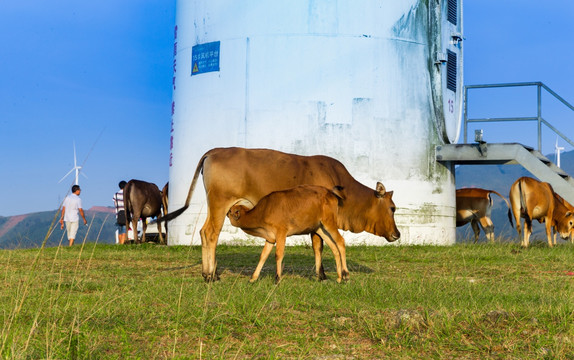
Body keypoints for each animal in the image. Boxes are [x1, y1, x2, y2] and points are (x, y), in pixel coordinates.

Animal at [158, 146, 400, 282]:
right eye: (392, 208)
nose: (397, 234)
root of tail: (215, 151)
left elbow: (319, 245)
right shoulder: (318, 221)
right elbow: (319, 245)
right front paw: (322, 275)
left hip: (216, 205)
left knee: (203, 232)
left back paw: (213, 273)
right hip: (219, 203)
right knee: (210, 233)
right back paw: (209, 276)